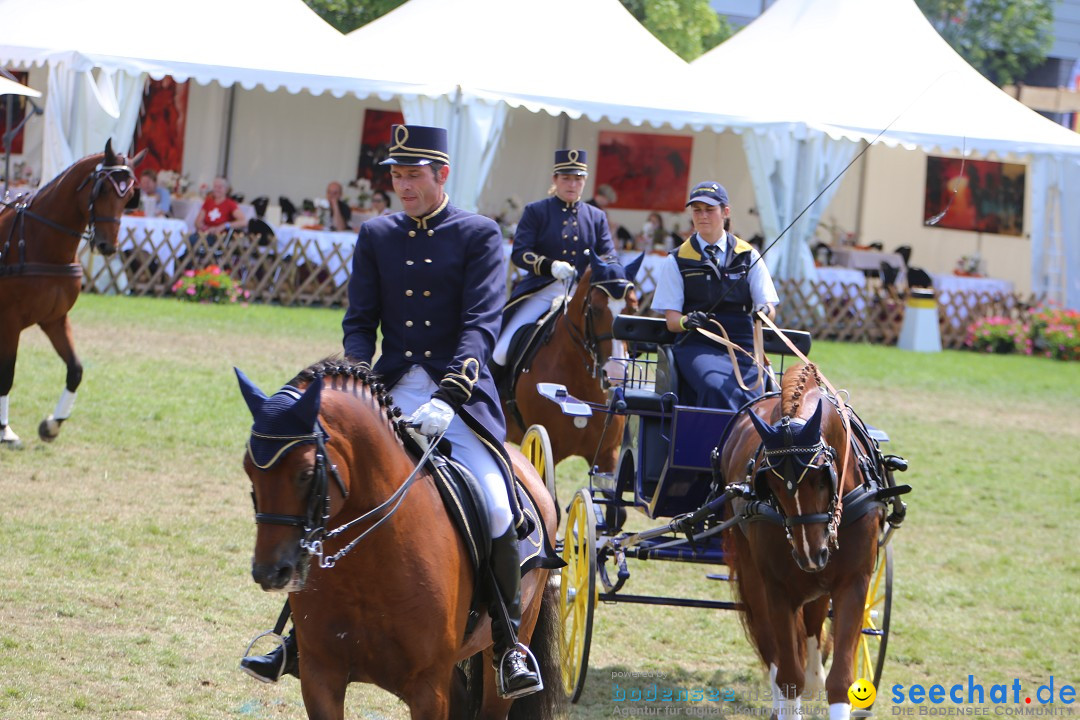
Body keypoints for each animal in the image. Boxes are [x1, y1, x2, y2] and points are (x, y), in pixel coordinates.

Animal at [0, 138, 143, 446]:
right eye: (102, 190)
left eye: (129, 197)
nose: (107, 245)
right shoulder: (9, 322)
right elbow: (7, 373)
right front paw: (5, 429)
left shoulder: (55, 319)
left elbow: (76, 370)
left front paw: (53, 424)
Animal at [233, 362, 561, 720]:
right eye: (248, 468)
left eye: (306, 473)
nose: (269, 573)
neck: (364, 565)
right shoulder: (320, 676)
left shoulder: (427, 687)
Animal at [721, 367, 881, 720]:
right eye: (770, 485)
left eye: (822, 478)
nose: (810, 553)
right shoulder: (778, 588)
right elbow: (788, 676)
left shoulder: (853, 582)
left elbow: (840, 679)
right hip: (755, 576)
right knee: (772, 648)